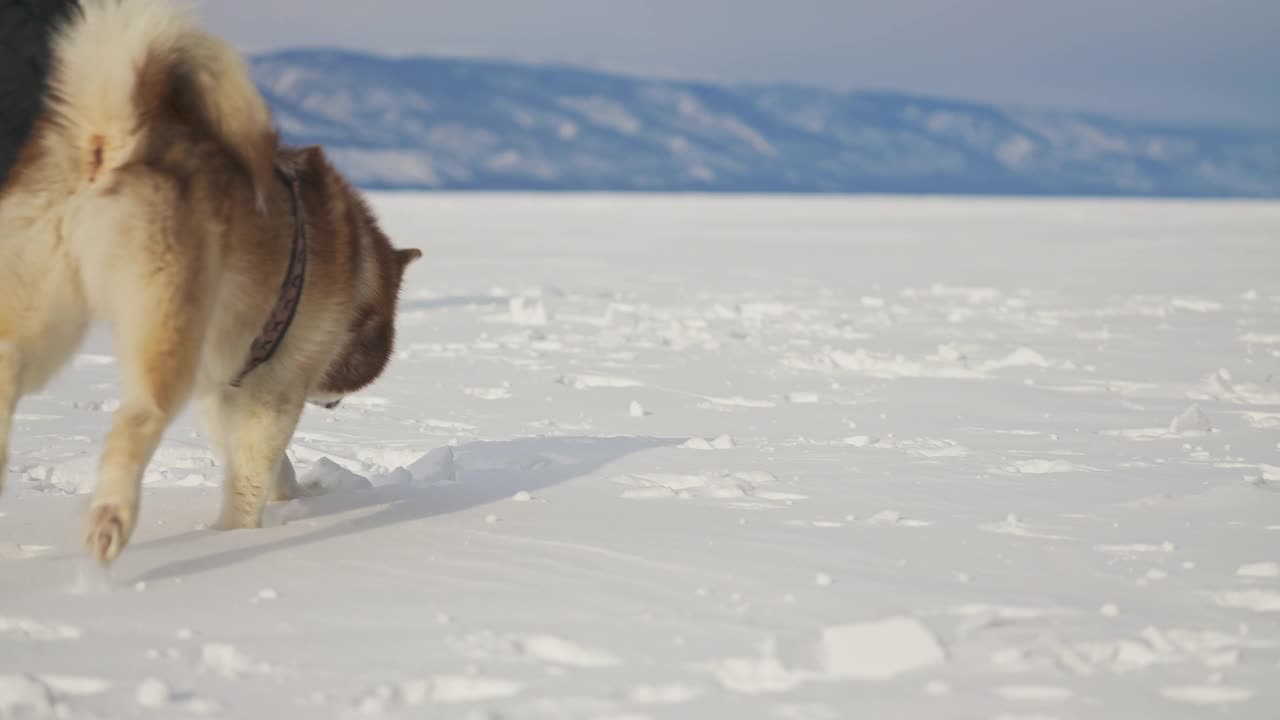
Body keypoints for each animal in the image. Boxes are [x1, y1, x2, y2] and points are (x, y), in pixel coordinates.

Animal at [0, 0, 422, 561]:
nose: (334, 402)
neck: (359, 266)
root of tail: (112, 137)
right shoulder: (279, 380)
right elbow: (256, 462)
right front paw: (238, 532)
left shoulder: (224, 382)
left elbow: (254, 458)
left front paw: (286, 496)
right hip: (167, 327)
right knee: (137, 418)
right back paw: (111, 520)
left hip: (45, 315)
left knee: (9, 365)